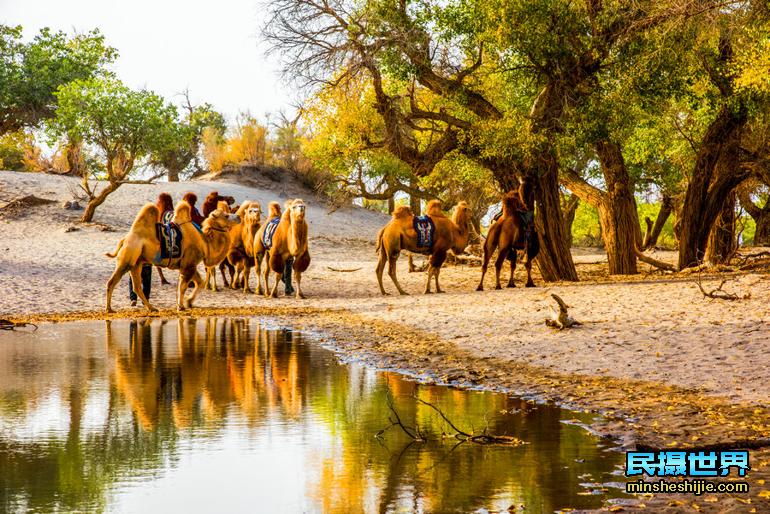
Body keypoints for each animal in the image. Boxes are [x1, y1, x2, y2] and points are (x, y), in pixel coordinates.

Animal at [103, 201, 238, 312]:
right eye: (226, 215)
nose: (238, 217)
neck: (205, 242)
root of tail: (125, 239)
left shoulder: (189, 264)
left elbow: (199, 282)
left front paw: (189, 303)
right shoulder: (189, 264)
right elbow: (183, 287)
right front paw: (181, 306)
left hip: (136, 263)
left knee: (137, 287)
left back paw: (152, 308)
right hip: (127, 259)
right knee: (112, 282)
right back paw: (109, 309)